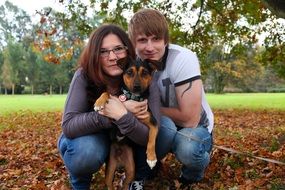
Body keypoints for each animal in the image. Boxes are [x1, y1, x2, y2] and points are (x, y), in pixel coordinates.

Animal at [93, 56, 159, 190]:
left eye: (145, 72)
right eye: (129, 72)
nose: (137, 86)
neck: (132, 97)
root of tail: (120, 161)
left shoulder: (153, 122)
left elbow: (152, 139)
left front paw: (151, 158)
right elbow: (107, 93)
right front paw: (99, 103)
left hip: (131, 169)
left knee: (126, 184)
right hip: (110, 169)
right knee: (109, 184)